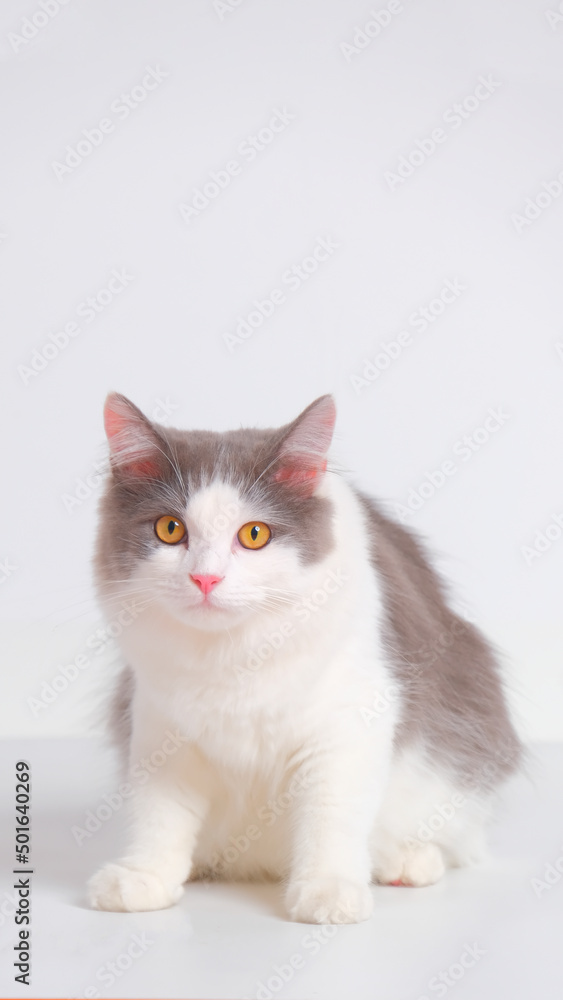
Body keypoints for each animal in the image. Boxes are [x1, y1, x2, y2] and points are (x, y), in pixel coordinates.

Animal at [88, 390, 524, 920]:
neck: (233, 657)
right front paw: (145, 876)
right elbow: (159, 813)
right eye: (170, 529)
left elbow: (330, 814)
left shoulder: (350, 722)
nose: (206, 578)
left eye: (254, 534)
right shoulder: (159, 726)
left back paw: (404, 860)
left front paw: (329, 889)